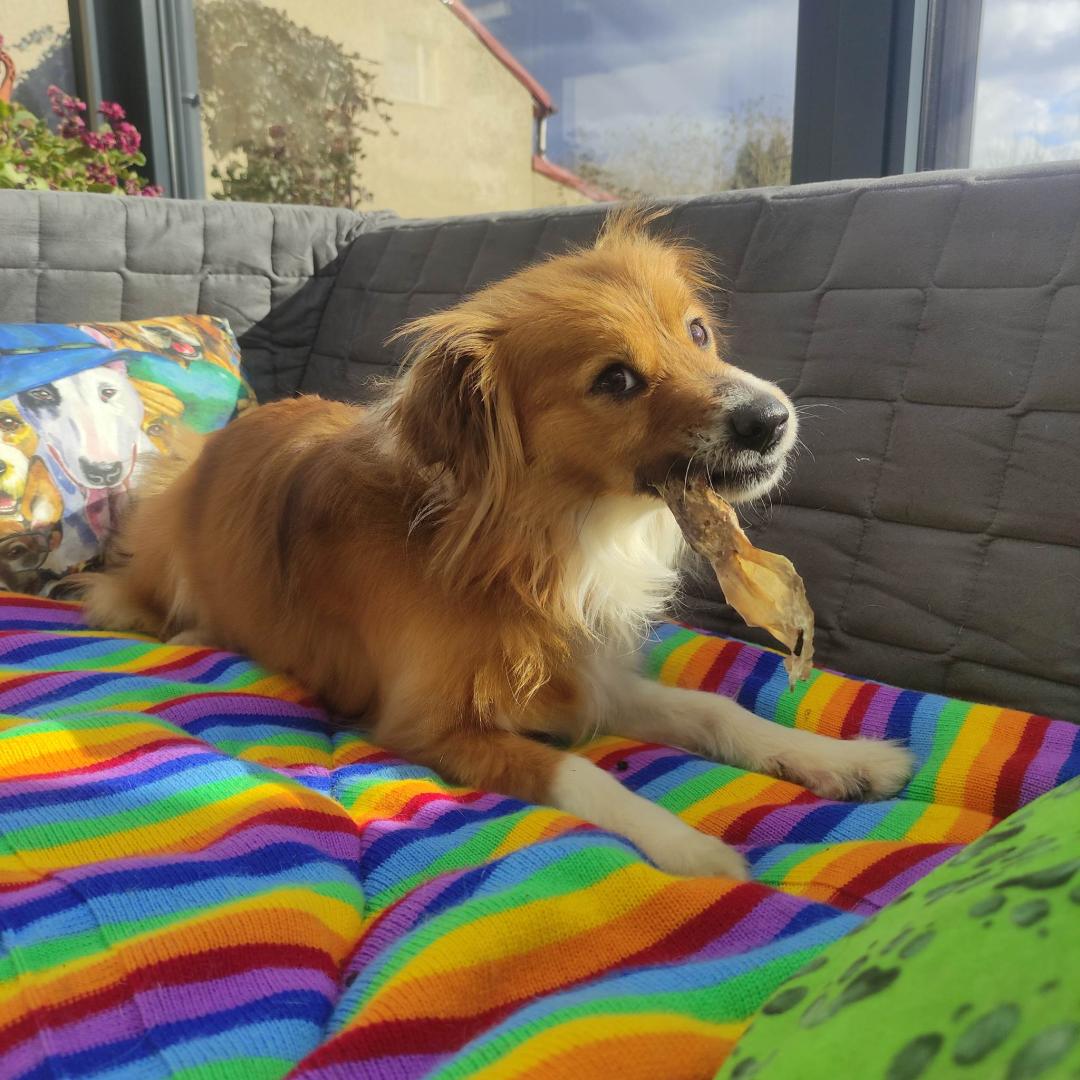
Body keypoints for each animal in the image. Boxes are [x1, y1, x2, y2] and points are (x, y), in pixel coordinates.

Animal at [78, 209, 913, 878]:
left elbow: (719, 712)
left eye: (698, 333)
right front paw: (687, 845)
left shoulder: (590, 675)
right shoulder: (429, 725)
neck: (554, 533)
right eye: (615, 379)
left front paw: (842, 758)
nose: (771, 418)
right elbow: (585, 775)